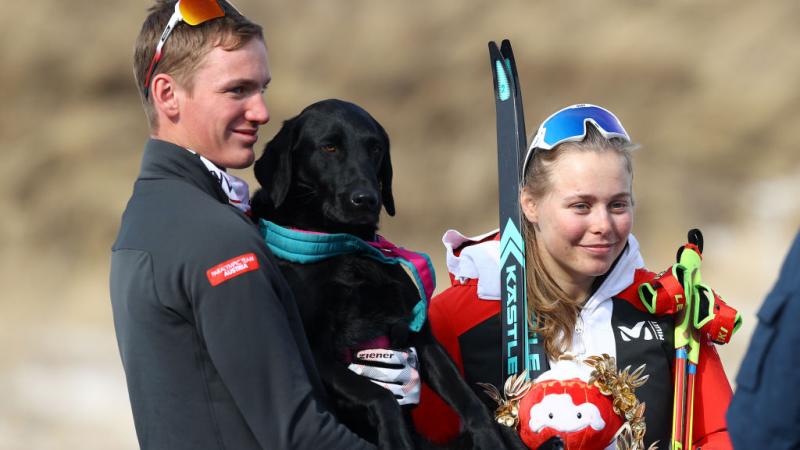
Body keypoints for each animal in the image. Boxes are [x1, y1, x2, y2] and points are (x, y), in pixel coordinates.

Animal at [252, 100, 506, 448]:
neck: (346, 247)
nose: (366, 199)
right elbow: (380, 395)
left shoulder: (421, 336)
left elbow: (469, 399)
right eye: (329, 147)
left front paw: (490, 437)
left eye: (374, 148)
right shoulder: (316, 352)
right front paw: (395, 436)